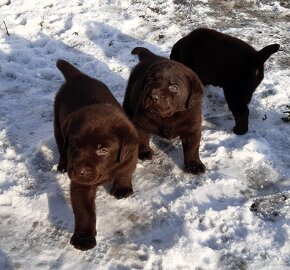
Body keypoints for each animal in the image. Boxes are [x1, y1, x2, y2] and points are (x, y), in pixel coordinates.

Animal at [54, 59, 138, 251]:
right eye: (74, 144)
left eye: (102, 150)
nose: (78, 171)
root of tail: (79, 76)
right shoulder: (80, 184)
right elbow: (84, 211)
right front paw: (83, 237)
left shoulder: (130, 156)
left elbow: (125, 171)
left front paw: (122, 188)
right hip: (57, 125)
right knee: (60, 147)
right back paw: (62, 164)